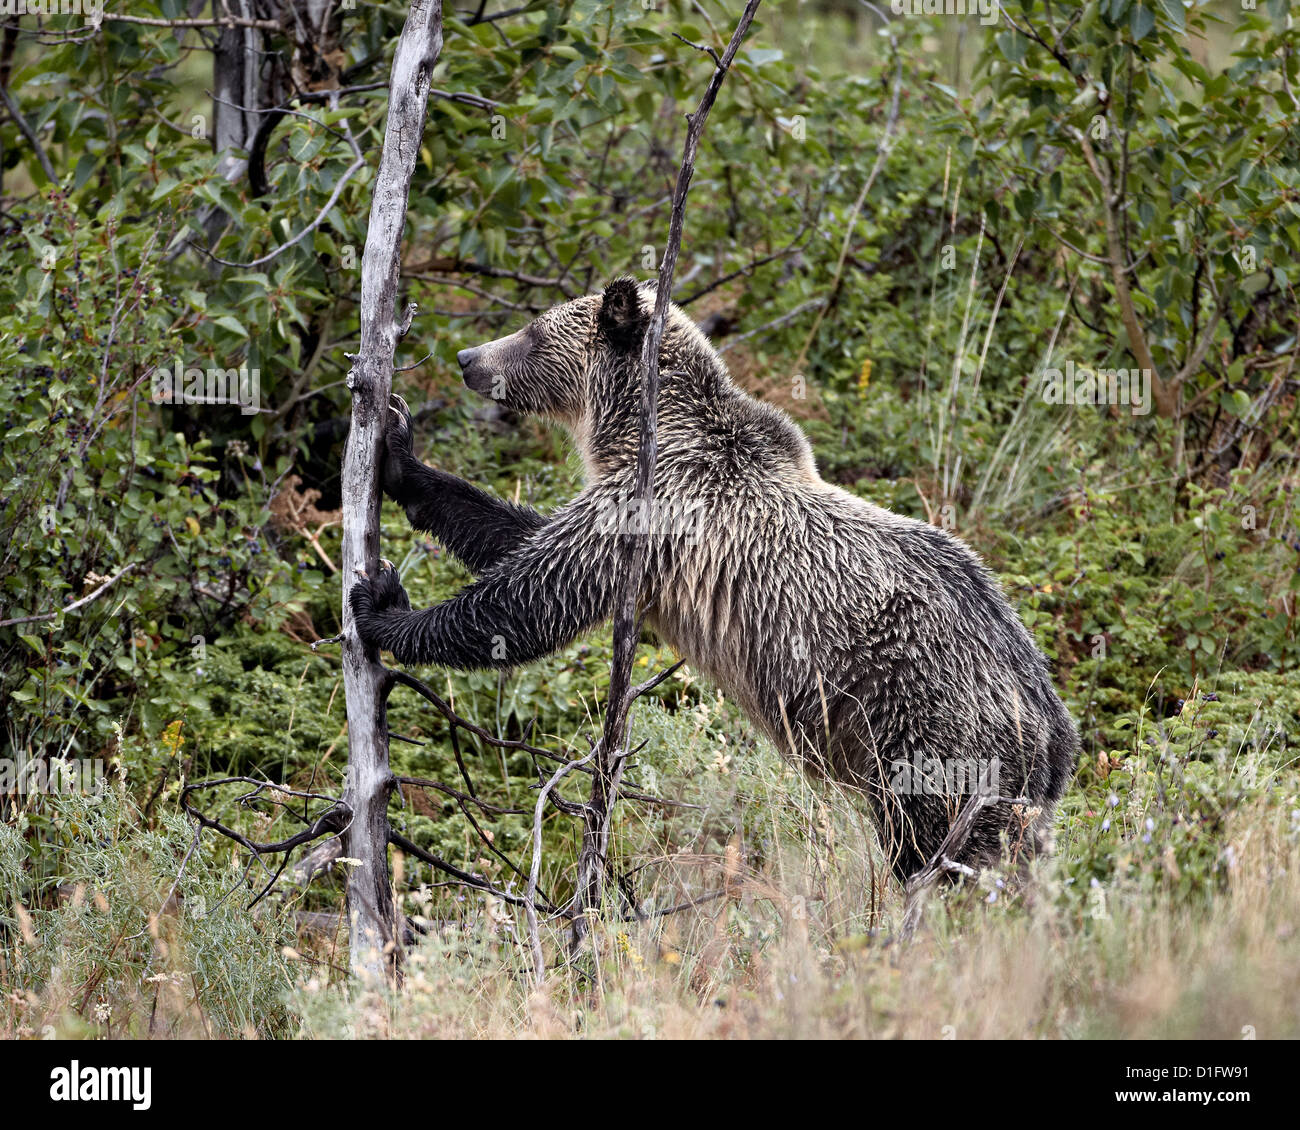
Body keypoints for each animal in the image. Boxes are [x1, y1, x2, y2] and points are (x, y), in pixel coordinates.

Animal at [351, 278, 1071, 879]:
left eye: (533, 328)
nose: (468, 356)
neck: (641, 431)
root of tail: (1051, 726)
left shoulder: (653, 508)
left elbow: (532, 596)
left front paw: (384, 606)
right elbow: (515, 534)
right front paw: (403, 458)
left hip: (927, 733)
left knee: (935, 849)